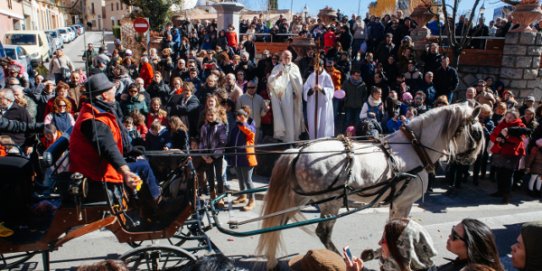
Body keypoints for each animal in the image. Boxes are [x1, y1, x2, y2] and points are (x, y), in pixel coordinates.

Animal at [258, 103, 486, 268]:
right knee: (322, 232)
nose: (472, 159)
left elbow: (391, 228)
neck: (414, 148)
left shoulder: (396, 201)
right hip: (330, 202)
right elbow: (399, 229)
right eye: (476, 132)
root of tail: (298, 151)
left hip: (301, 198)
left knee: (278, 222)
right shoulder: (405, 202)